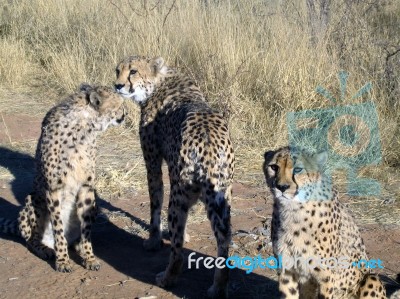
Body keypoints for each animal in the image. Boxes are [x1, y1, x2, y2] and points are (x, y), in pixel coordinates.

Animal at [0, 84, 125, 274]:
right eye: (119, 104)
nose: (125, 113)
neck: (84, 127)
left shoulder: (87, 187)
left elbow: (86, 230)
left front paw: (89, 257)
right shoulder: (54, 189)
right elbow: (58, 227)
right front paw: (63, 261)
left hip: (95, 203)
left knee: (74, 239)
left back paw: (77, 245)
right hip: (33, 199)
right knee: (31, 240)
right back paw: (45, 249)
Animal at [115, 55, 234, 298]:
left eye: (133, 71)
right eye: (117, 70)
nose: (118, 86)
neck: (158, 82)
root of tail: (208, 139)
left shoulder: (152, 162)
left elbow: (155, 203)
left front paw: (153, 241)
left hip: (179, 195)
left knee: (178, 249)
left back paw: (167, 278)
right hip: (222, 196)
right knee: (224, 240)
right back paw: (218, 287)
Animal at [262, 146, 388, 298]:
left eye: (298, 169)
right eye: (274, 167)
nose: (281, 187)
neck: (293, 209)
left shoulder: (326, 275)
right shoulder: (287, 270)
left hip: (371, 278)